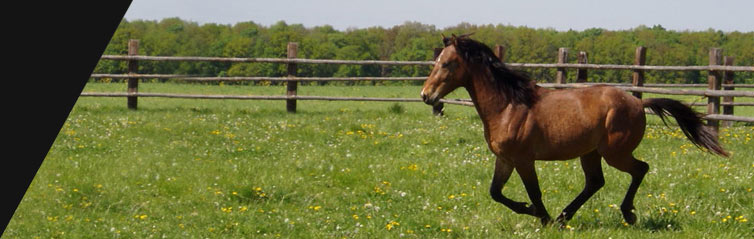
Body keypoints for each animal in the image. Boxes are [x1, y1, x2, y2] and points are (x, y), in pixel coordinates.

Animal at [420, 33, 724, 226]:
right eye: (437, 62)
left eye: (447, 63)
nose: (426, 95)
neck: (508, 106)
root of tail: (639, 102)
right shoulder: (504, 159)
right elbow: (495, 192)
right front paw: (534, 212)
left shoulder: (523, 159)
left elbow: (534, 192)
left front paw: (540, 216)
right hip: (590, 153)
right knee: (595, 182)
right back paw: (565, 217)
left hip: (615, 153)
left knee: (640, 169)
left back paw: (626, 214)